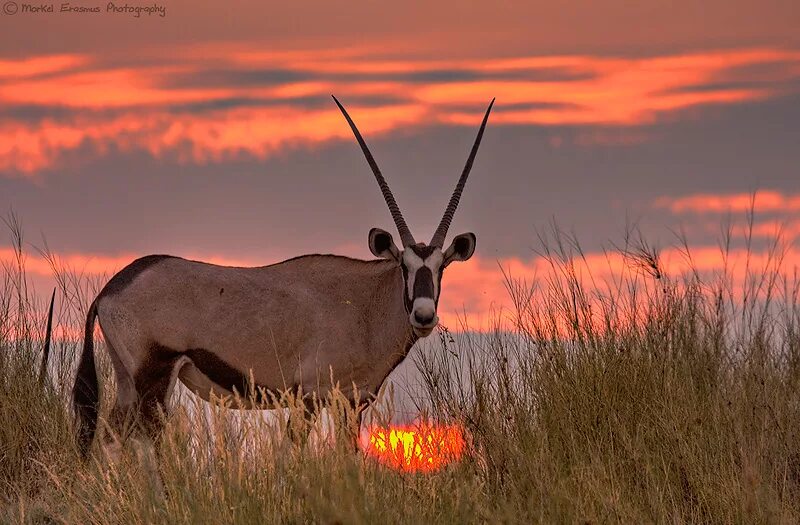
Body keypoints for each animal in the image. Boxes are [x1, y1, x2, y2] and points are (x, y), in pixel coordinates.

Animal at [73, 96, 494, 456]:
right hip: (154, 380)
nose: (423, 315)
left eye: (441, 267)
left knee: (110, 440)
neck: (364, 303)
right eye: (404, 265)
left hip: (127, 382)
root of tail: (111, 289)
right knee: (143, 442)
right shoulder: (307, 396)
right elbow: (291, 453)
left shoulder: (352, 403)